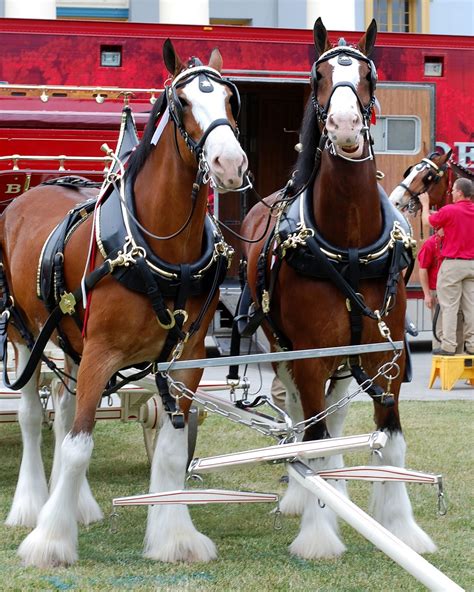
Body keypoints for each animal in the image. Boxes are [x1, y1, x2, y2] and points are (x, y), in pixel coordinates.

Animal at [0, 39, 248, 568]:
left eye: (230, 100)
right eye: (182, 102)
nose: (229, 164)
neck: (161, 251)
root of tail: (29, 195)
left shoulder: (186, 358)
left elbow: (171, 447)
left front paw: (175, 537)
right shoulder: (101, 352)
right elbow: (79, 445)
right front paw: (51, 542)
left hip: (69, 339)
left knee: (63, 410)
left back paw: (75, 504)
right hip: (25, 332)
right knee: (34, 416)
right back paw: (32, 506)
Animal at [241, 19, 436, 560]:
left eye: (369, 76)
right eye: (320, 76)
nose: (346, 126)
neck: (348, 242)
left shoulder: (384, 355)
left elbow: (389, 439)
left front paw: (401, 528)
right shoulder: (308, 357)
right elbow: (314, 439)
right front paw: (317, 533)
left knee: (338, 417)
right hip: (281, 348)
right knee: (302, 419)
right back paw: (302, 497)